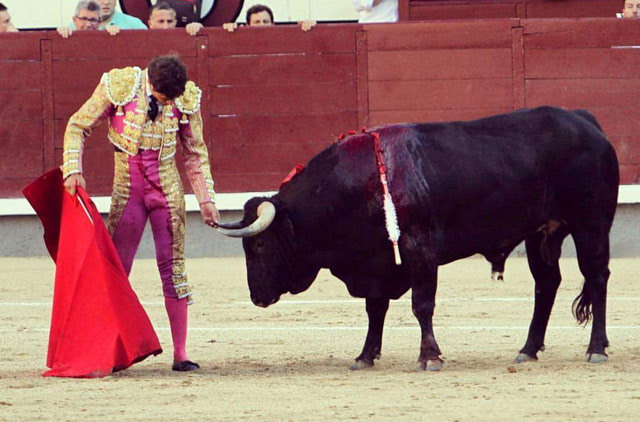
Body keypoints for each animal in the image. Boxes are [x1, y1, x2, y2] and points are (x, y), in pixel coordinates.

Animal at [215, 107, 620, 370]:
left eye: (260, 245)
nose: (257, 297)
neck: (355, 187)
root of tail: (586, 121)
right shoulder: (376, 261)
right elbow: (375, 309)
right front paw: (365, 356)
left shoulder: (419, 250)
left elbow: (421, 305)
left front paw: (430, 356)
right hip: (541, 233)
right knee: (547, 284)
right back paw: (528, 349)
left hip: (591, 224)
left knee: (597, 277)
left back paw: (596, 348)